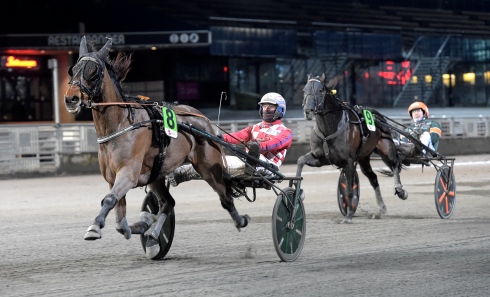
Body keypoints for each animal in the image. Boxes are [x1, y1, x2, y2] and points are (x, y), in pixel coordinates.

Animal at [64, 37, 249, 258]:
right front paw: (143, 223)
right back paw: (152, 235)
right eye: (73, 70)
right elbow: (119, 220)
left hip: (209, 168)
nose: (71, 98)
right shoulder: (112, 178)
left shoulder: (128, 173)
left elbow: (109, 200)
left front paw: (94, 227)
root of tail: (202, 118)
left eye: (94, 71)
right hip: (157, 175)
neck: (121, 125)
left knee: (225, 196)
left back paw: (240, 220)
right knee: (168, 202)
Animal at [296, 74, 408, 222]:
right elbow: (300, 160)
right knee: (373, 178)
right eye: (304, 90)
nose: (308, 111)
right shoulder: (320, 158)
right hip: (363, 158)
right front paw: (298, 191)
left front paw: (348, 216)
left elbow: (349, 189)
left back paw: (400, 191)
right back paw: (381, 210)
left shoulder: (348, 161)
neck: (330, 128)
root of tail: (376, 114)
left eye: (320, 90)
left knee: (395, 164)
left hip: (386, 148)